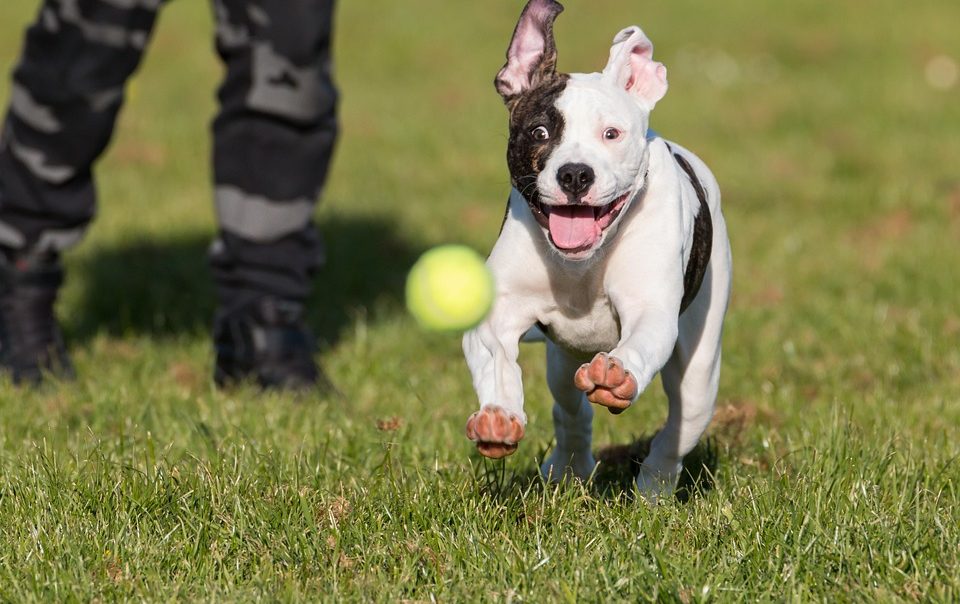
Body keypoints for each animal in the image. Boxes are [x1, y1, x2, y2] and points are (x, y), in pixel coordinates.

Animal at [462, 0, 732, 500]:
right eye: (540, 132)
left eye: (612, 134)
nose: (574, 174)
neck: (581, 266)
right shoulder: (499, 312)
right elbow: (494, 355)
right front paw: (499, 416)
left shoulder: (651, 309)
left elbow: (642, 340)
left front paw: (617, 373)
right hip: (561, 360)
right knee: (571, 410)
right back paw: (569, 467)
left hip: (701, 367)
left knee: (680, 426)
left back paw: (654, 488)